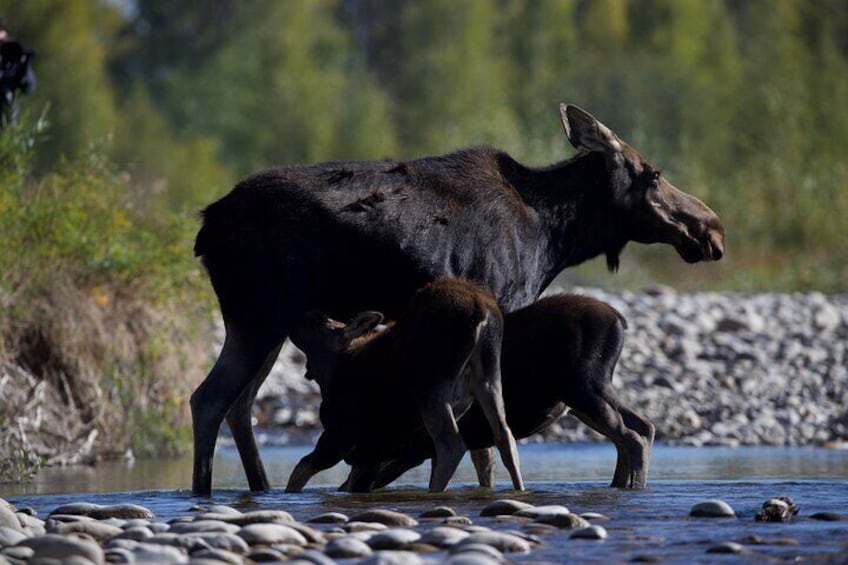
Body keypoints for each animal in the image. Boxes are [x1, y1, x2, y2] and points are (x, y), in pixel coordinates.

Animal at [284, 278, 524, 494]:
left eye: (317, 319)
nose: (293, 320)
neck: (328, 372)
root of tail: (480, 310)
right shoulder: (371, 451)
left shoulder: (340, 436)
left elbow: (301, 469)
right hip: (488, 378)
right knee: (504, 436)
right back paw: (518, 489)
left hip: (431, 387)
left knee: (451, 445)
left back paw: (435, 493)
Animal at [344, 294, 656, 492]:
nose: (352, 486)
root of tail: (620, 321)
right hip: (591, 391)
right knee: (642, 426)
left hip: (583, 387)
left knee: (633, 436)